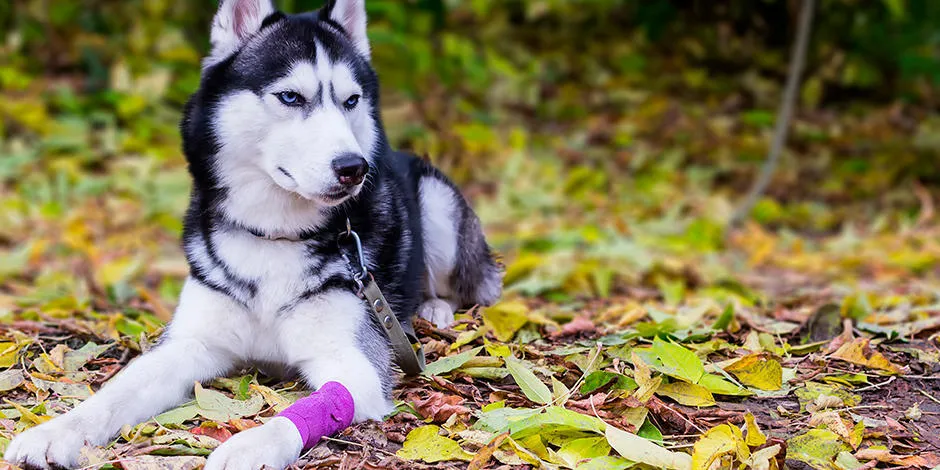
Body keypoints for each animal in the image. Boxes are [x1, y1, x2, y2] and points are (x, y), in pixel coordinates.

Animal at [3, 0, 504, 468]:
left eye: (351, 101)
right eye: (290, 97)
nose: (354, 168)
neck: (274, 237)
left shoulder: (355, 362)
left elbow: (304, 410)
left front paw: (250, 445)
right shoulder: (191, 343)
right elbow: (118, 390)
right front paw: (58, 431)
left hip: (438, 205)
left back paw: (435, 308)